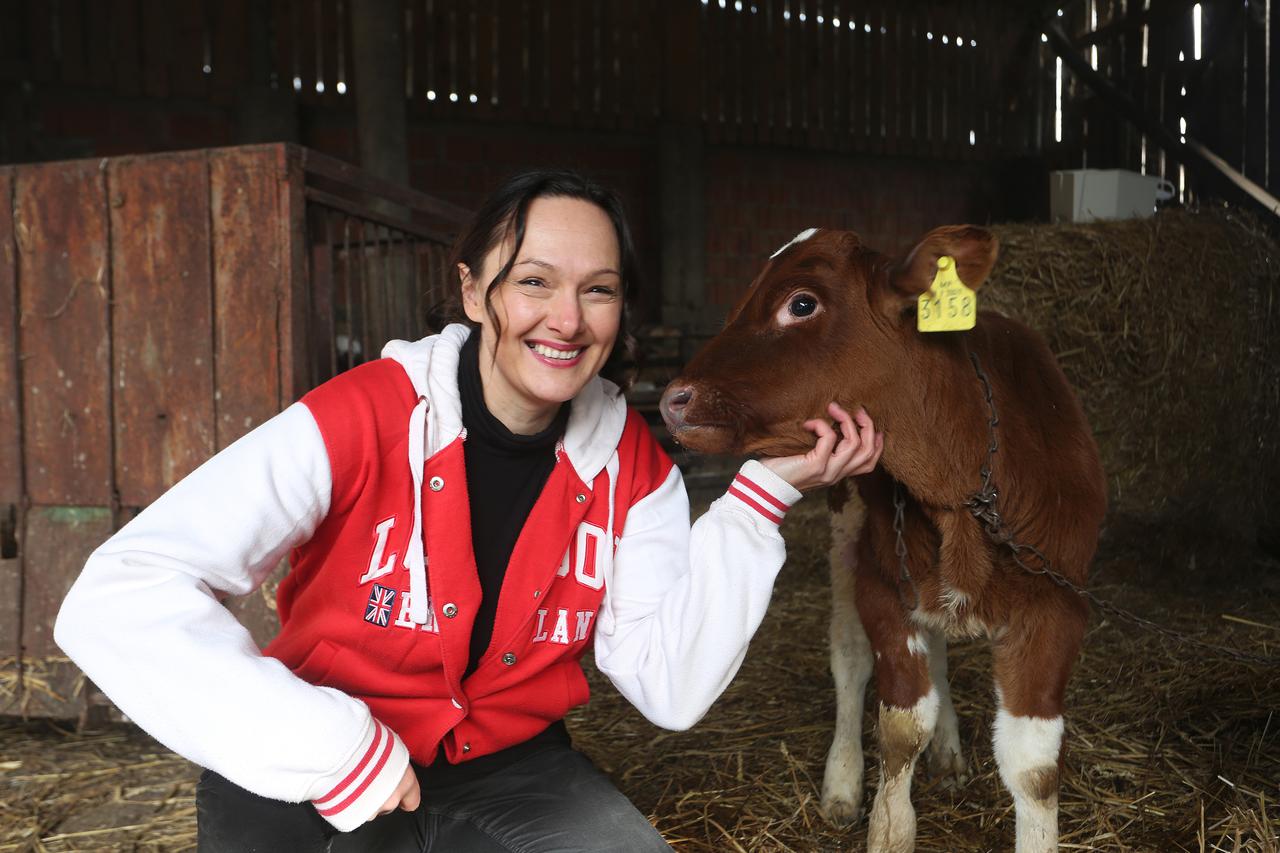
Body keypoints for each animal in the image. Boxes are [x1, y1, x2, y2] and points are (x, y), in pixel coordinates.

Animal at [665, 222, 1105, 845]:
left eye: (802, 303)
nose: (672, 401)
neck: (962, 493)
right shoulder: (882, 587)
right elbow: (899, 727)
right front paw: (884, 824)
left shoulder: (1058, 604)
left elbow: (1035, 767)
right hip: (847, 528)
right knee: (850, 655)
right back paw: (843, 783)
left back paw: (948, 752)